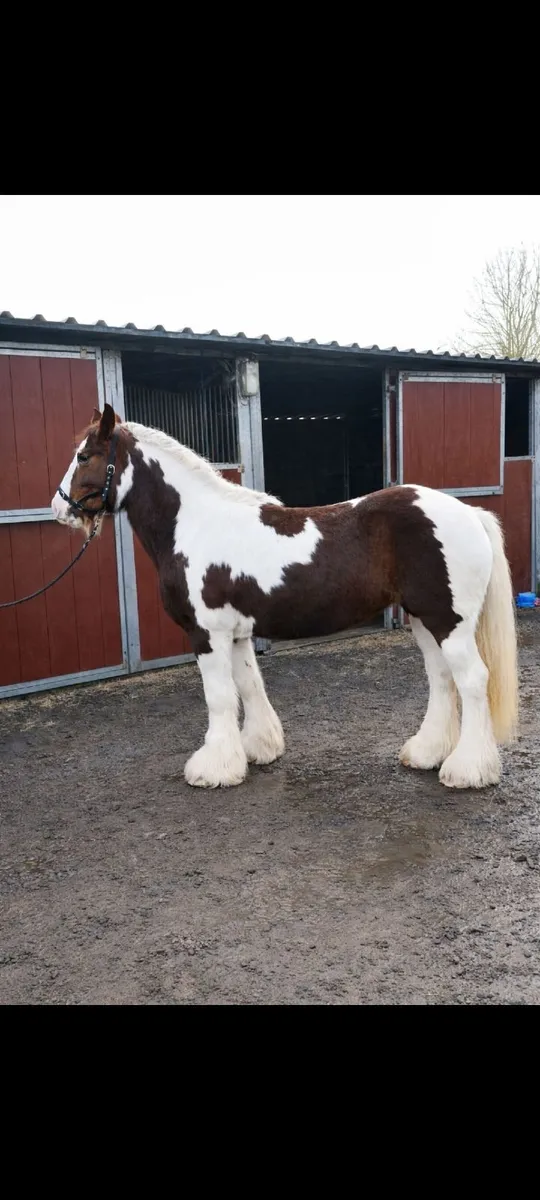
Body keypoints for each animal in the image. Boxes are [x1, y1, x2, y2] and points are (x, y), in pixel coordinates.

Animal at [51, 403, 519, 791]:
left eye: (84, 456)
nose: (60, 509)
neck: (194, 524)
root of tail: (469, 513)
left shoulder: (207, 633)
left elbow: (219, 696)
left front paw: (213, 769)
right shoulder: (237, 633)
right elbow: (248, 685)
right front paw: (258, 749)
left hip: (449, 622)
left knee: (472, 680)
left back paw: (467, 770)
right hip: (424, 619)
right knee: (442, 679)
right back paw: (427, 753)